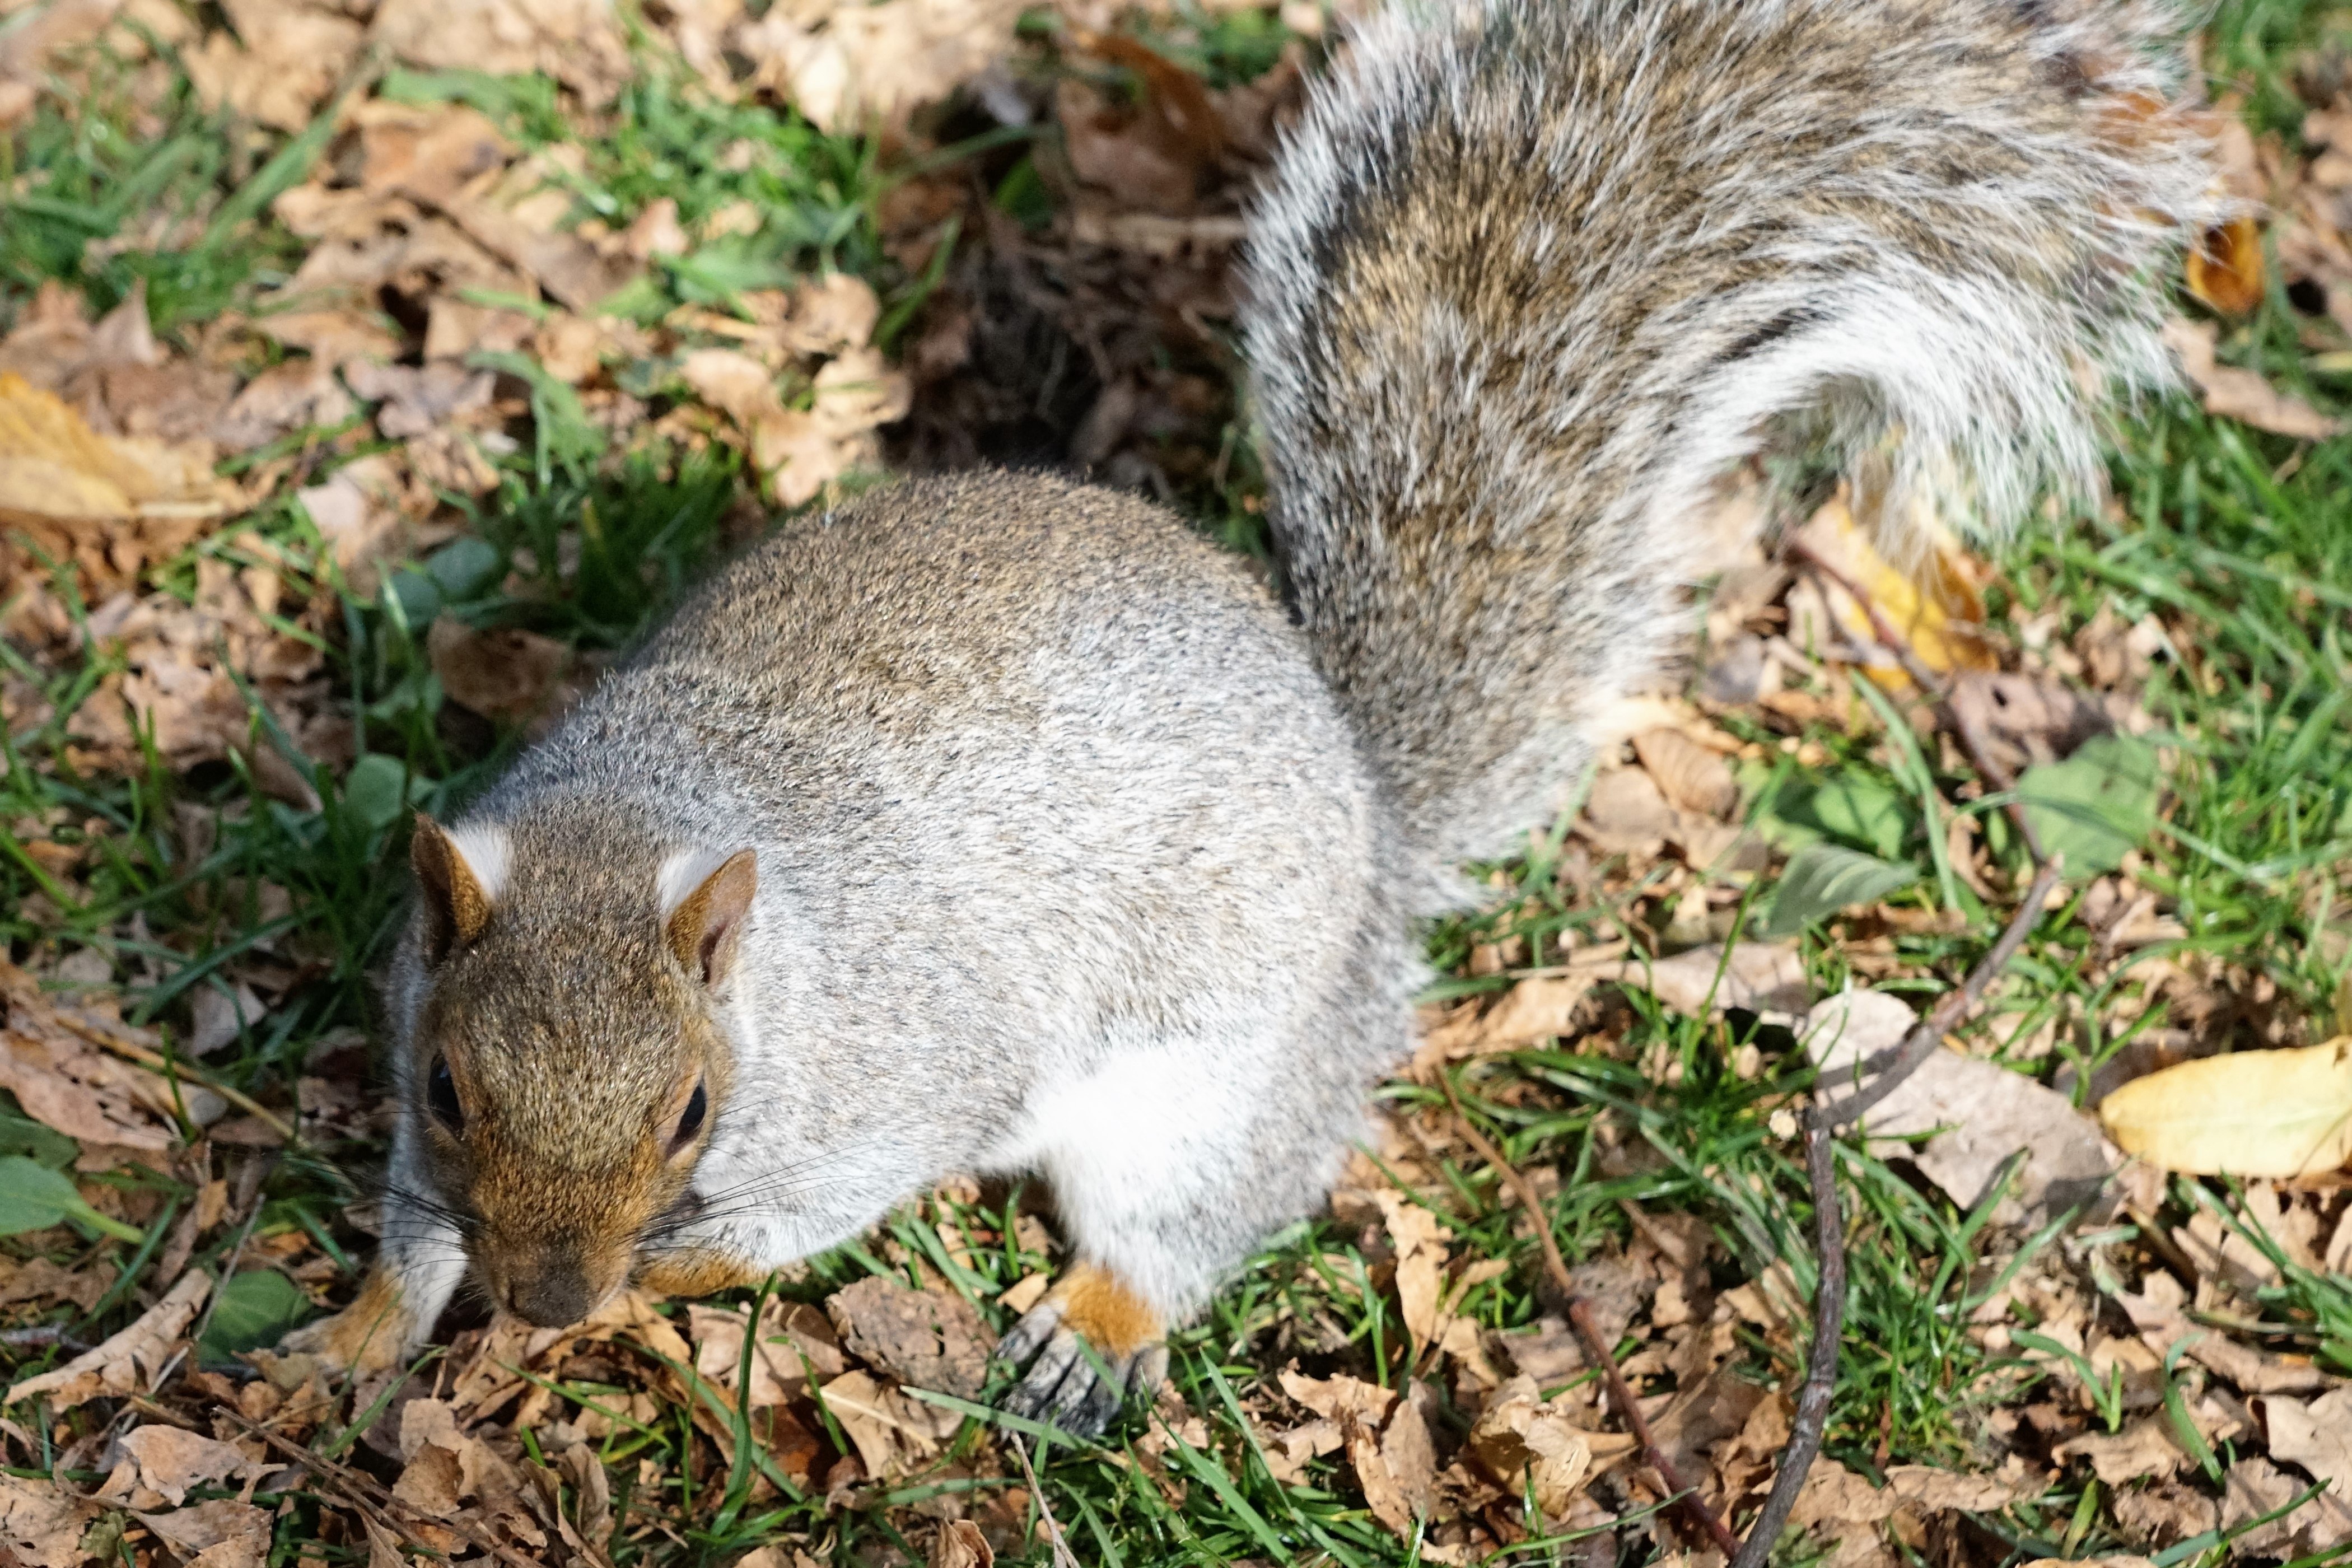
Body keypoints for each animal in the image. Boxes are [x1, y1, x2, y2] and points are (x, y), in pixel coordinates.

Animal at [288, 0, 2213, 1436]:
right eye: (446, 1081)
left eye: (692, 1111)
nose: (545, 1299)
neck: (656, 824)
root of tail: (1362, 795)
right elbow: (407, 1220)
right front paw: (357, 1330)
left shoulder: (906, 1074)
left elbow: (804, 1215)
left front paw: (654, 1276)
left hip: (1212, 1076)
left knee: (1199, 1210)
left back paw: (1091, 1323)